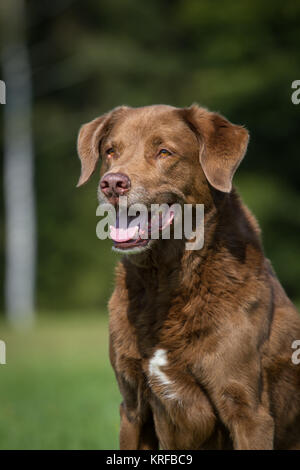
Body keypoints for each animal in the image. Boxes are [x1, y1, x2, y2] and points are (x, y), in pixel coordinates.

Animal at [77, 104, 300, 450]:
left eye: (164, 152)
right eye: (111, 151)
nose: (112, 184)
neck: (164, 281)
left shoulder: (249, 412)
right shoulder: (132, 407)